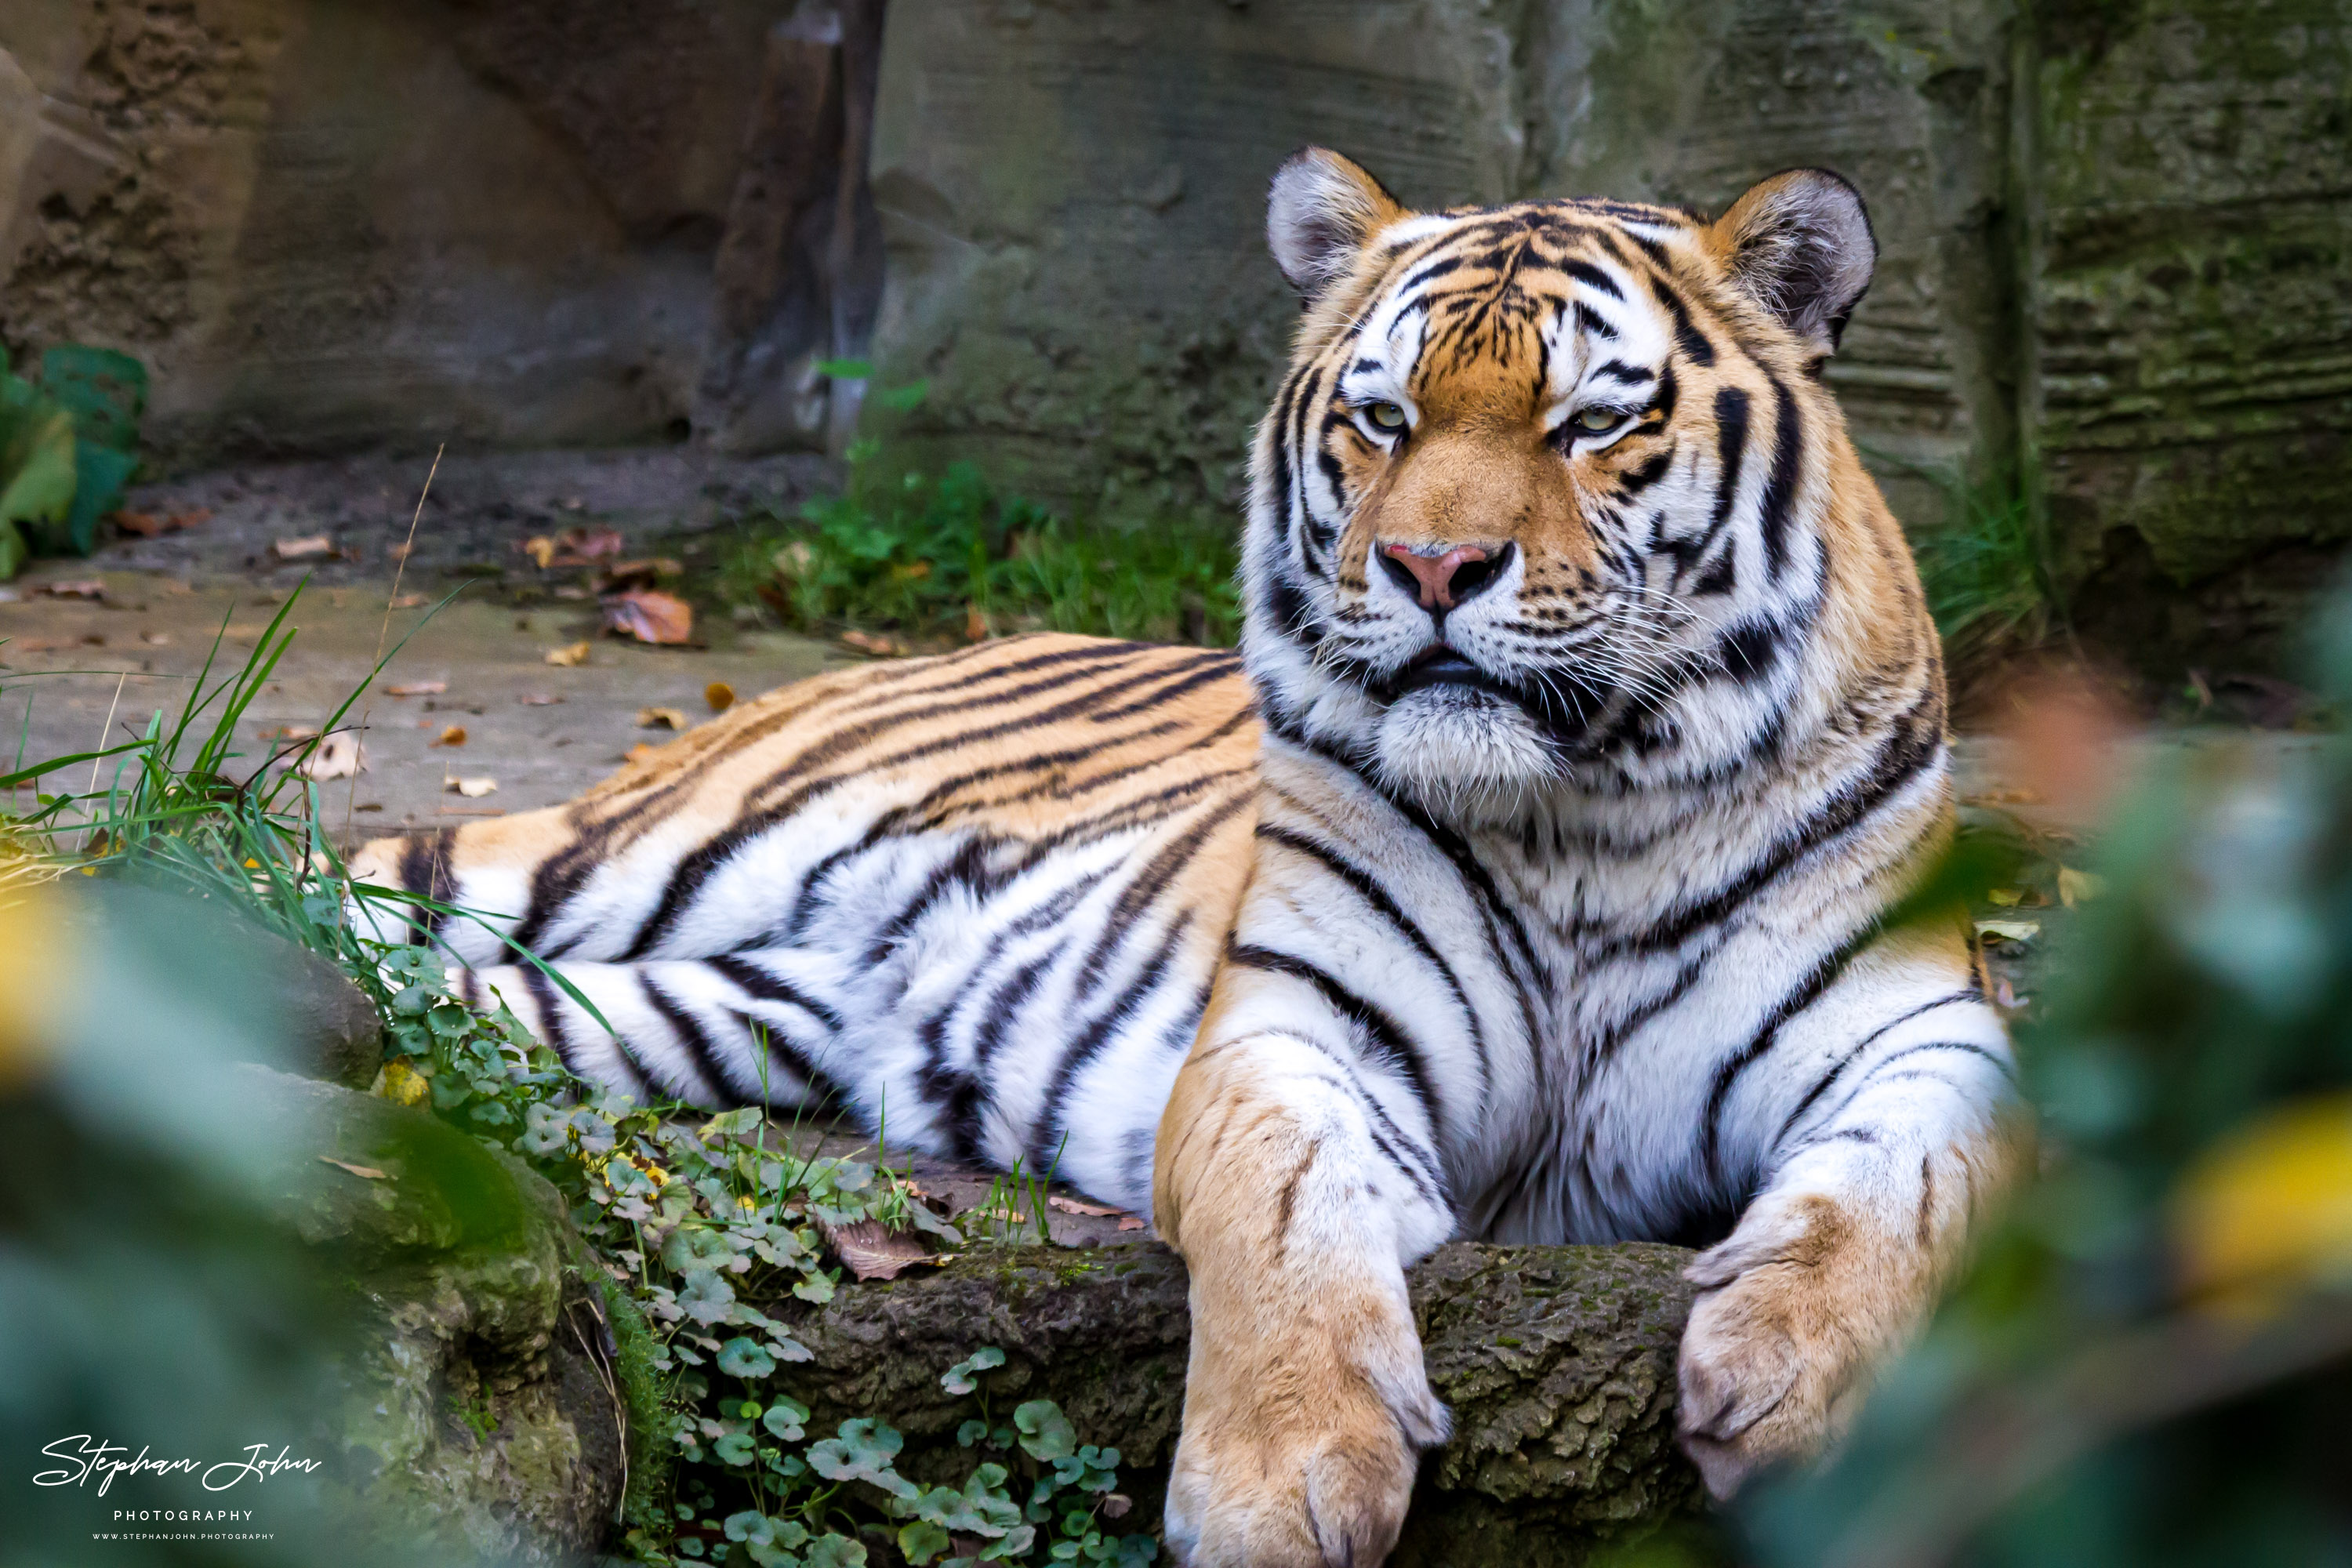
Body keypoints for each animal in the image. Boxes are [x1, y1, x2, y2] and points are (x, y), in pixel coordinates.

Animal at [353, 150, 2023, 1568]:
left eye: (1591, 423)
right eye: (1384, 419)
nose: (1430, 569)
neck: (1578, 814)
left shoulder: (1920, 1020)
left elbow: (1912, 1184)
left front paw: (1807, 1400)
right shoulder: (1291, 1029)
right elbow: (1285, 1215)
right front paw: (1282, 1486)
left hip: (703, 1006)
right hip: (628, 855)